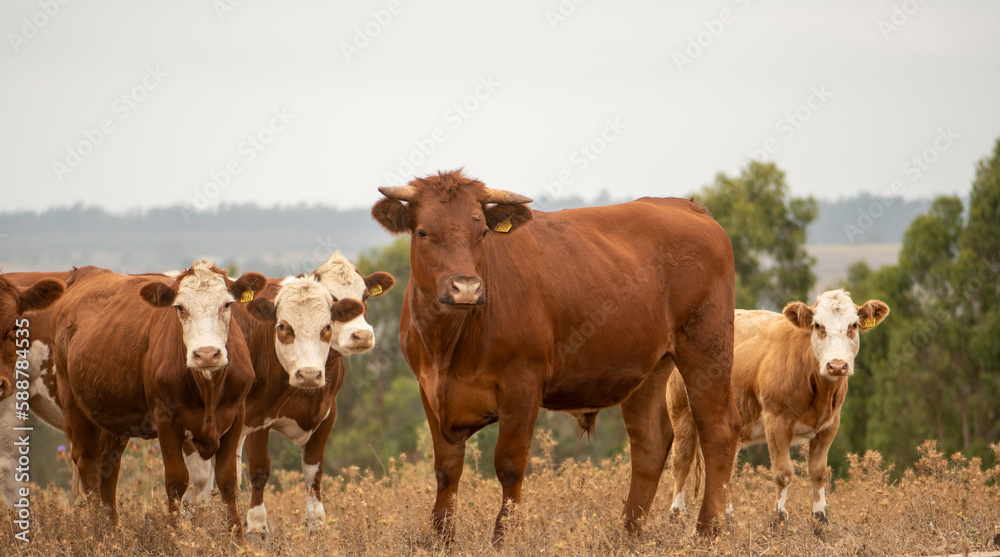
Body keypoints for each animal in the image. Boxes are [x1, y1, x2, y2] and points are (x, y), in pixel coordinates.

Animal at [50, 260, 266, 544]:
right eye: (180, 307)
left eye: (227, 304)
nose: (207, 354)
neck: (207, 385)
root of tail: (85, 273)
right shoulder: (166, 418)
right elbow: (176, 480)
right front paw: (175, 535)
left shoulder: (236, 414)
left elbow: (228, 479)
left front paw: (238, 540)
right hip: (73, 402)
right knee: (89, 465)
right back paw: (96, 532)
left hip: (113, 418)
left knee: (109, 467)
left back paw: (113, 530)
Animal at [180, 251, 394, 528]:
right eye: (283, 327)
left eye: (365, 297)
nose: (362, 336)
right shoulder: (254, 420)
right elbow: (259, 471)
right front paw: (258, 526)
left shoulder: (327, 416)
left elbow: (314, 472)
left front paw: (317, 524)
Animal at [372, 168, 740, 540]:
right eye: (422, 232)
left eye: (482, 232)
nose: (466, 288)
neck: (449, 344)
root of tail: (686, 207)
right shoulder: (430, 389)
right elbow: (446, 469)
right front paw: (441, 538)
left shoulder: (522, 384)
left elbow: (509, 464)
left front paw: (505, 538)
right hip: (650, 367)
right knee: (650, 443)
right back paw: (627, 536)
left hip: (707, 347)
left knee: (719, 430)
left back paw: (707, 531)